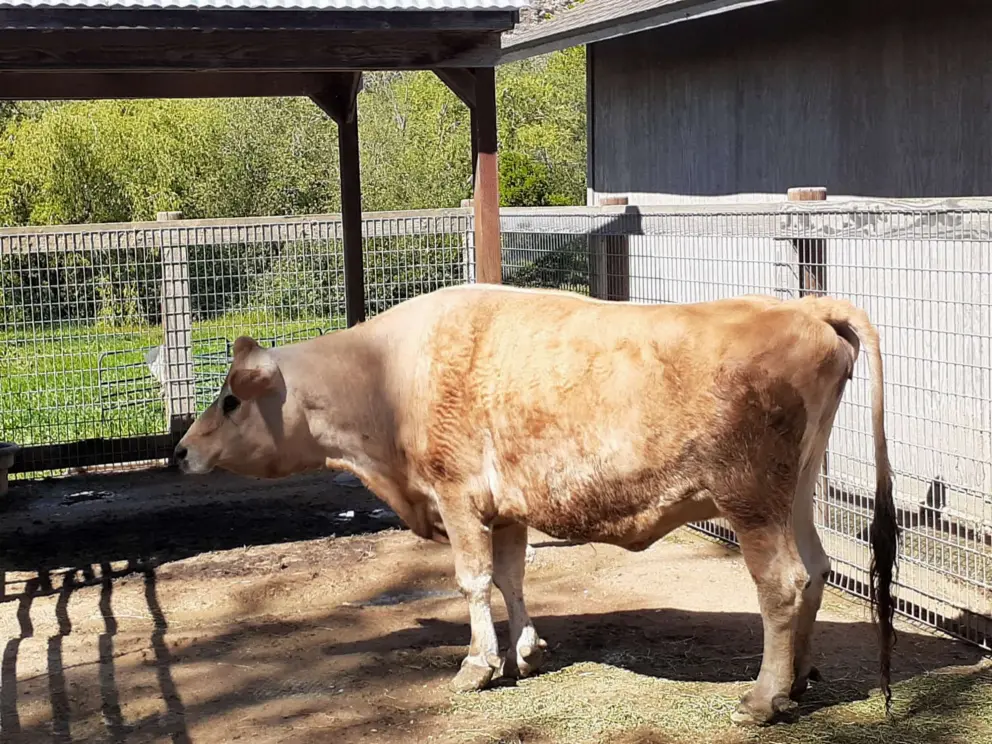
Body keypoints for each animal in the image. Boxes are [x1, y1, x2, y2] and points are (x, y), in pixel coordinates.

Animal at [174, 284, 899, 726]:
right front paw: (523, 650)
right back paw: (798, 679)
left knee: (783, 582)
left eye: (230, 399)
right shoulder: (509, 506)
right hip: (795, 490)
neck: (387, 376)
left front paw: (477, 665)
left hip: (751, 497)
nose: (180, 451)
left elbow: (473, 580)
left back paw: (765, 695)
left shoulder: (458, 494)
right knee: (817, 569)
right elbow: (513, 578)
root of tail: (807, 308)